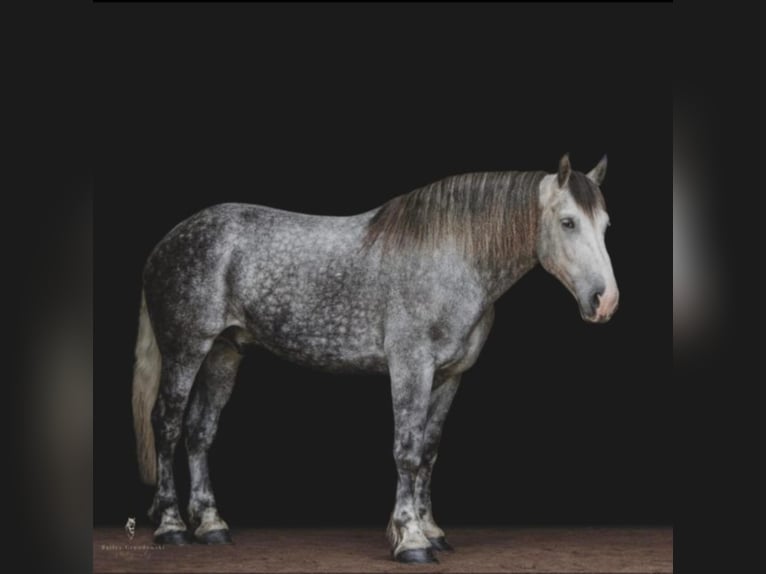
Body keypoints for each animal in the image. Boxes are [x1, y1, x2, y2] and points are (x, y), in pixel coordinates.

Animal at [132, 154, 620, 568]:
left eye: (605, 225)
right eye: (568, 222)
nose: (606, 301)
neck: (452, 256)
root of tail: (168, 242)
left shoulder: (449, 376)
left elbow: (428, 451)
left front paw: (431, 530)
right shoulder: (411, 365)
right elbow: (406, 450)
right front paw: (411, 541)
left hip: (223, 352)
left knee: (200, 431)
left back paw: (211, 525)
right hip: (186, 349)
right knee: (168, 425)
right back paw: (172, 527)